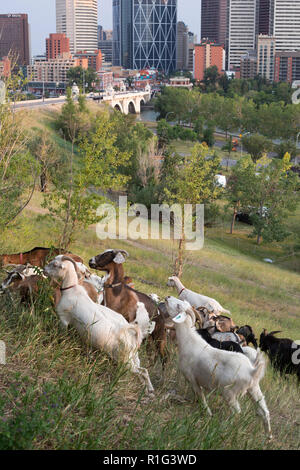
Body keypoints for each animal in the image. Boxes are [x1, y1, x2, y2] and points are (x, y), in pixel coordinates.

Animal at [44, 255, 155, 394]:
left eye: (55, 265)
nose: (44, 270)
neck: (72, 290)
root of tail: (131, 334)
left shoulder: (63, 319)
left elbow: (61, 335)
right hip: (130, 358)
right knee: (143, 371)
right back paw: (149, 391)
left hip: (125, 360)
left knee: (140, 372)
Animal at [164, 296, 272, 438]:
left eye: (178, 306)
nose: (167, 297)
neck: (188, 341)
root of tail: (252, 371)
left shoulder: (193, 379)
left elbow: (201, 397)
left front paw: (208, 414)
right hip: (254, 389)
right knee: (264, 412)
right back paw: (268, 436)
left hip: (229, 392)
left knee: (237, 412)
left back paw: (224, 427)